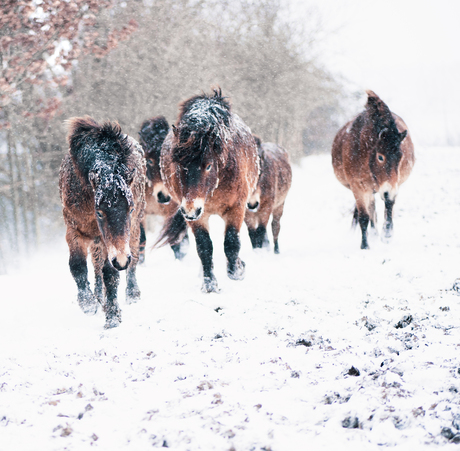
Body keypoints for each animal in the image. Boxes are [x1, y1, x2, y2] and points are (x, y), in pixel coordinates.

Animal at [58, 115, 146, 328]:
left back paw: (132, 294)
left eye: (130, 208)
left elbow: (110, 274)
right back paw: (98, 297)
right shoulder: (74, 231)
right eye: (99, 212)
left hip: (133, 230)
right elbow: (78, 266)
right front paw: (88, 303)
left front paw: (112, 317)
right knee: (96, 267)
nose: (121, 260)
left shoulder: (112, 241)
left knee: (133, 259)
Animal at [156, 89, 260, 294]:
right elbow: (204, 247)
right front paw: (210, 284)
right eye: (178, 166)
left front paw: (238, 270)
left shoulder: (236, 208)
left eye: (209, 166)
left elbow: (231, 243)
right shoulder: (197, 216)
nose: (190, 210)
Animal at [332, 89, 416, 249]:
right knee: (371, 208)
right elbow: (364, 217)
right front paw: (365, 245)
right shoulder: (358, 187)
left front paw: (388, 233)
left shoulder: (393, 184)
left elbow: (389, 203)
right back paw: (373, 234)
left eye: (400, 156)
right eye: (380, 157)